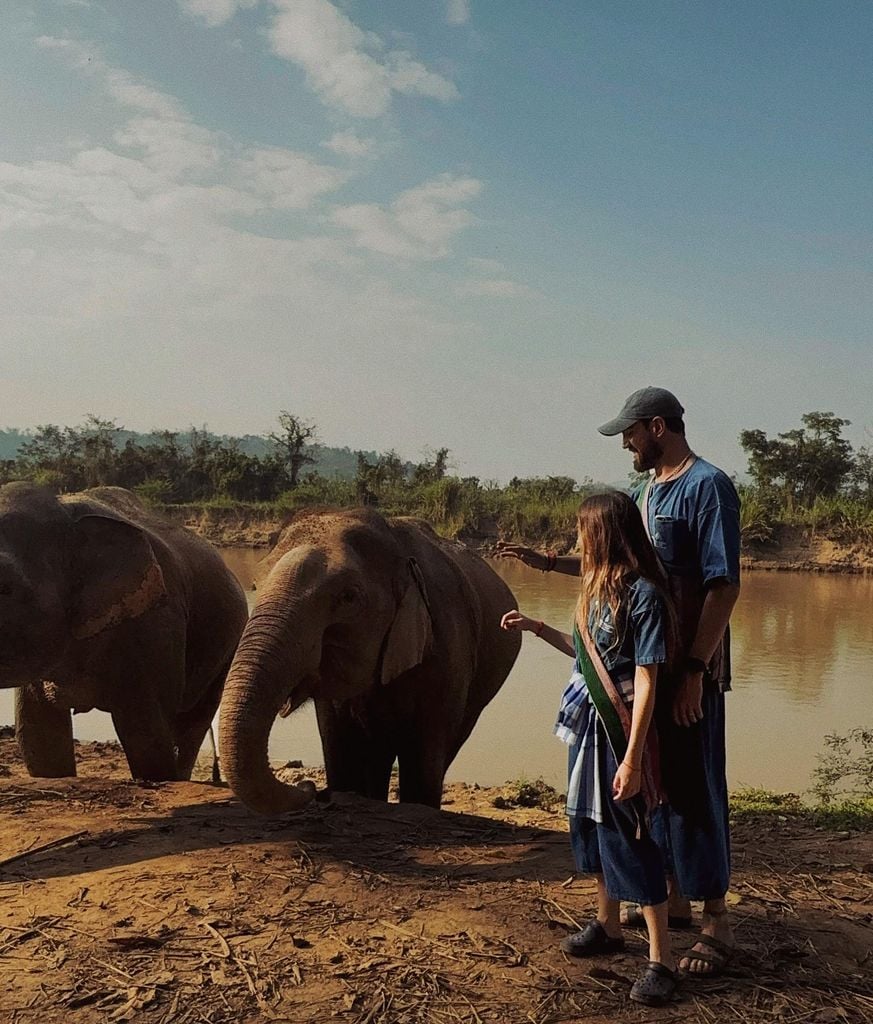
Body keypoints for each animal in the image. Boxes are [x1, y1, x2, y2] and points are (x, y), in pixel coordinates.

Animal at [1, 483, 250, 778]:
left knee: (190, 725)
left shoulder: (156, 624)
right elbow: (39, 735)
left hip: (228, 646)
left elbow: (145, 733)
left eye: (5, 587)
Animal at [220, 507, 517, 811]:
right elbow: (340, 750)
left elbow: (423, 763)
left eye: (348, 597)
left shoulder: (448, 653)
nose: (309, 787)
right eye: (255, 585)